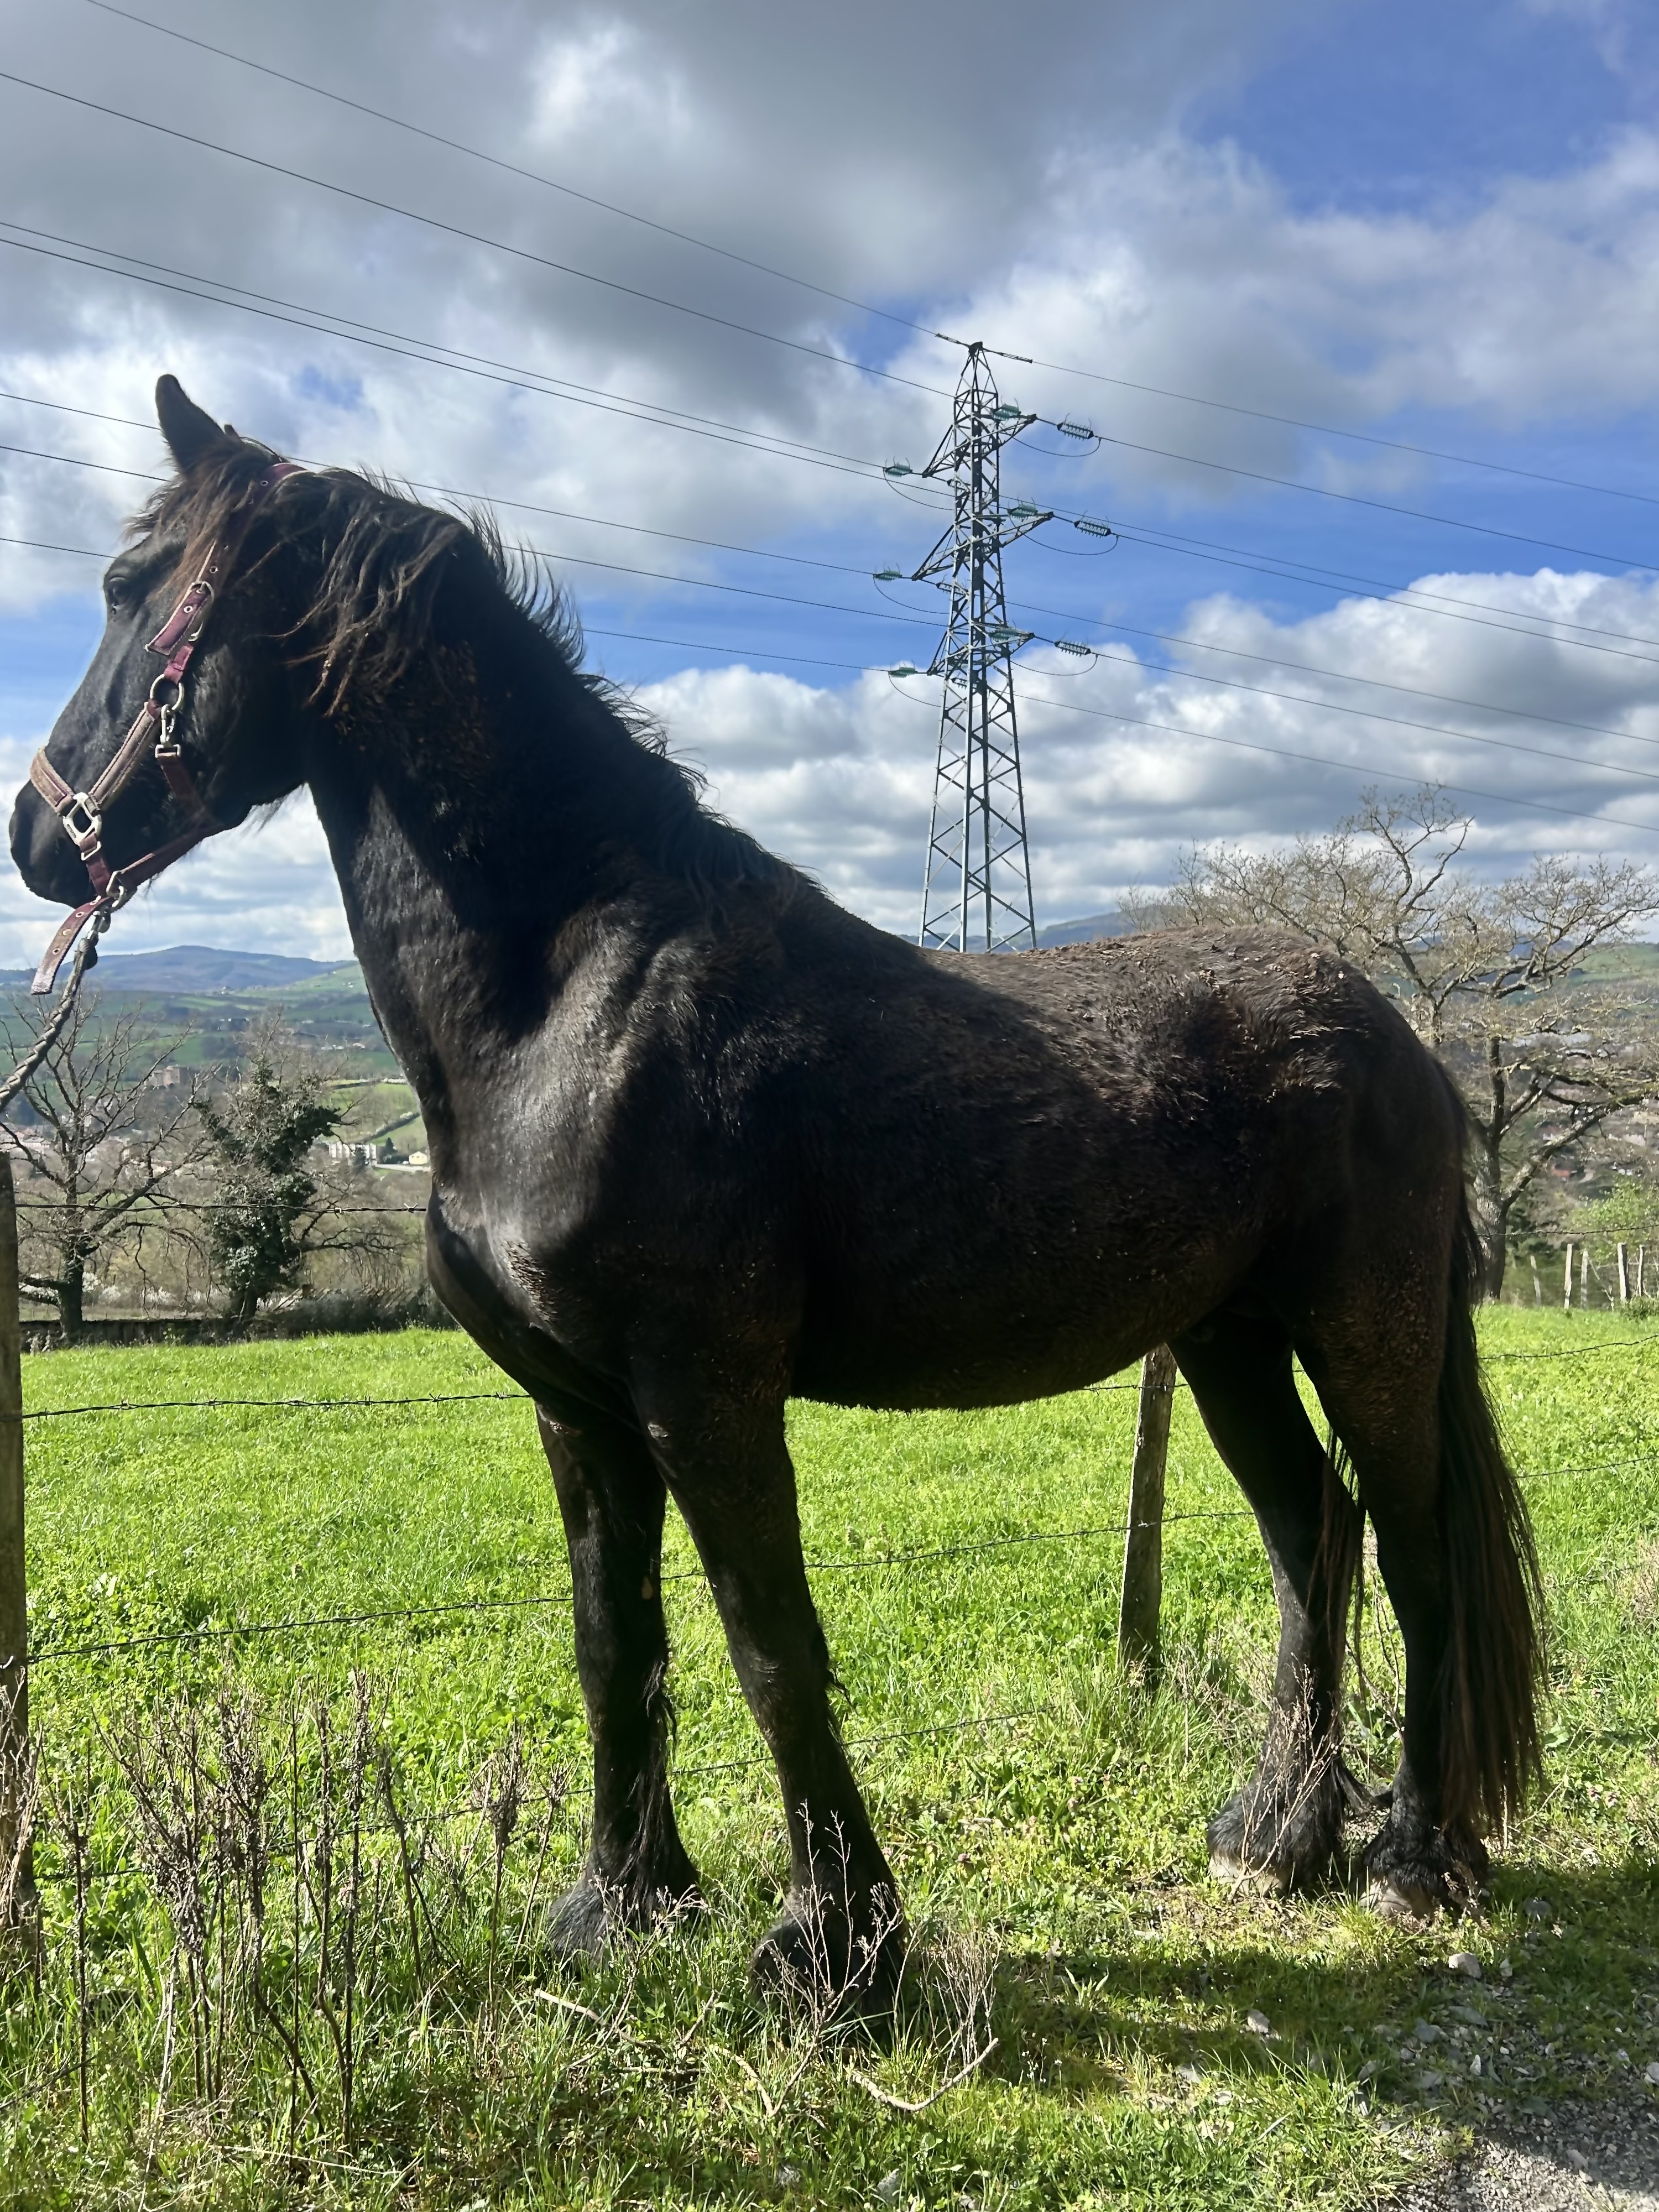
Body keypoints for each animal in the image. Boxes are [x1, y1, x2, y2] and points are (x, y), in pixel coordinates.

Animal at [10, 378, 1543, 2000]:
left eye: (132, 588)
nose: (40, 839)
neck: (574, 1006)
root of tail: (1395, 1034)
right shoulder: (580, 1410)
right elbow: (615, 1644)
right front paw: (624, 1904)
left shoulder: (706, 1395)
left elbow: (768, 1646)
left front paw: (840, 1958)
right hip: (1228, 1340)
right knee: (1312, 1538)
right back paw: (1276, 1836)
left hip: (1362, 1332)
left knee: (1414, 1547)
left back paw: (1413, 1862)